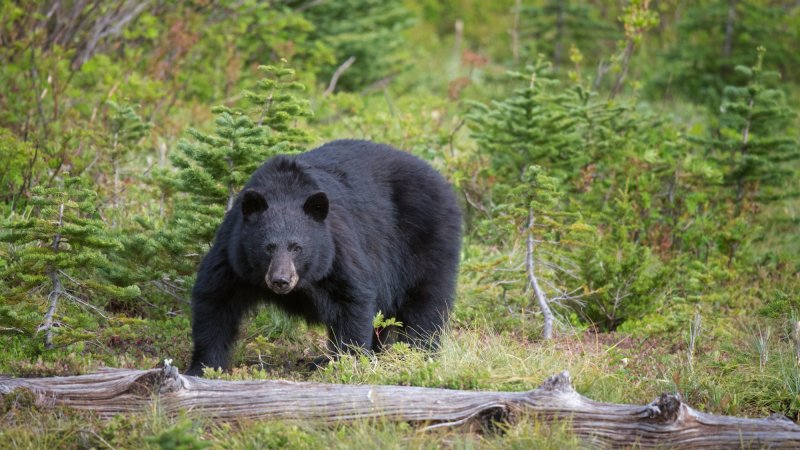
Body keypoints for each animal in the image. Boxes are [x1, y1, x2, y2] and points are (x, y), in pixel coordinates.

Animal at [188, 139, 462, 374]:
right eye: (268, 247)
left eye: (297, 247)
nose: (280, 280)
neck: (283, 190)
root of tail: (443, 182)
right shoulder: (233, 251)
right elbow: (215, 300)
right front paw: (204, 367)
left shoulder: (335, 250)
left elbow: (352, 300)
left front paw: (347, 363)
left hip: (425, 242)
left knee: (425, 305)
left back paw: (417, 354)